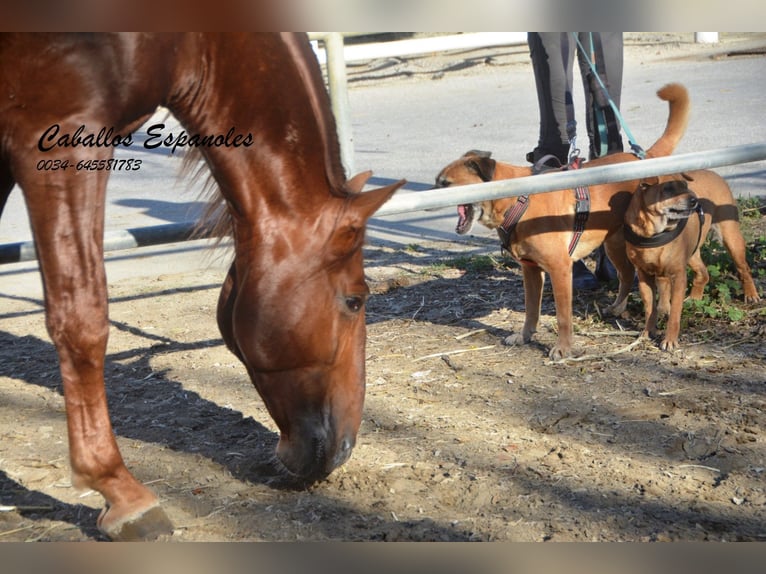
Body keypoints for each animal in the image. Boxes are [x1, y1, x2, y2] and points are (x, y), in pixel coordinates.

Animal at [0, 33, 404, 544]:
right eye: (354, 301)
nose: (343, 449)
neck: (191, 42)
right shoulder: (61, 140)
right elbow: (83, 319)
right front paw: (119, 491)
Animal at [436, 83, 692, 360]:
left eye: (446, 184)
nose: (428, 194)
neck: (517, 198)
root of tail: (646, 158)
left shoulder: (559, 270)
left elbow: (562, 317)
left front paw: (563, 348)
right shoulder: (531, 271)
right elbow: (531, 310)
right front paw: (525, 336)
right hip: (616, 244)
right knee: (628, 275)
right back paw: (626, 307)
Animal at [624, 172, 760, 352]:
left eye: (685, 186)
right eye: (668, 188)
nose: (694, 200)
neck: (655, 232)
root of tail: (714, 173)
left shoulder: (678, 277)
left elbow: (675, 313)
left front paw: (670, 340)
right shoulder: (644, 276)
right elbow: (650, 308)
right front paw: (647, 332)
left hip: (731, 238)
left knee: (744, 269)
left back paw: (751, 294)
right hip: (693, 253)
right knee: (703, 274)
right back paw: (695, 299)